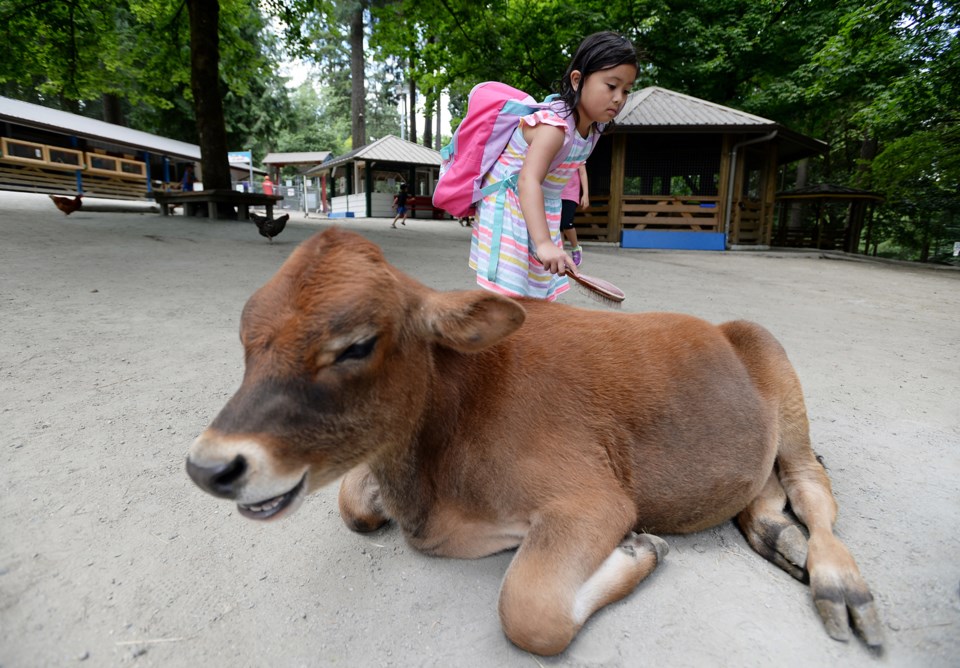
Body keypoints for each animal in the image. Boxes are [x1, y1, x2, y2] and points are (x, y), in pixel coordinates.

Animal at [188, 227, 884, 656]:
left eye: (356, 345)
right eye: (247, 340)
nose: (209, 466)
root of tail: (724, 327)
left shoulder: (592, 500)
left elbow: (531, 612)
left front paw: (641, 550)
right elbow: (354, 505)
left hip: (783, 384)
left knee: (812, 489)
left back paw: (836, 581)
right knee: (762, 493)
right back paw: (780, 537)